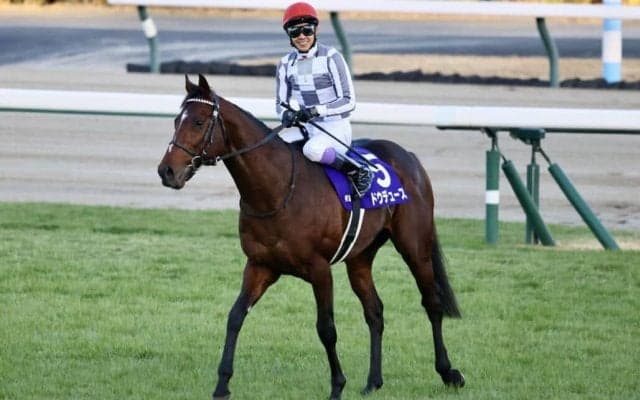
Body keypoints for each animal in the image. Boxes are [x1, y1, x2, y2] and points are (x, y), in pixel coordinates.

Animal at [157, 74, 464, 400]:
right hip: (360, 257)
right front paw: (222, 385)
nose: (167, 171)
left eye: (199, 122)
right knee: (375, 311)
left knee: (432, 302)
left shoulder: (319, 270)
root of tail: (410, 156)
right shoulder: (260, 265)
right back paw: (373, 381)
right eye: (176, 120)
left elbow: (326, 329)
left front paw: (337, 385)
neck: (277, 191)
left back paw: (448, 372)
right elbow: (235, 317)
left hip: (414, 246)